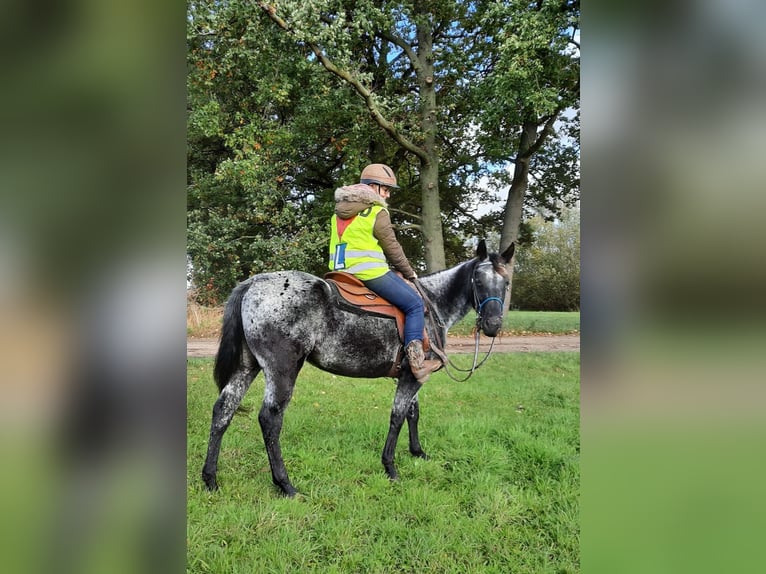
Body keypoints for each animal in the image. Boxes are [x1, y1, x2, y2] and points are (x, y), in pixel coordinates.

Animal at [202, 241, 516, 498]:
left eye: (506, 282)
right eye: (478, 280)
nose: (492, 325)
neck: (432, 305)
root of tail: (253, 283)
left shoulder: (412, 374)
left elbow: (413, 414)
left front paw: (417, 452)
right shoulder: (411, 378)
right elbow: (398, 417)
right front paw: (390, 467)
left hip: (248, 366)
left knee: (223, 410)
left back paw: (210, 479)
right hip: (282, 369)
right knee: (270, 419)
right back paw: (285, 485)